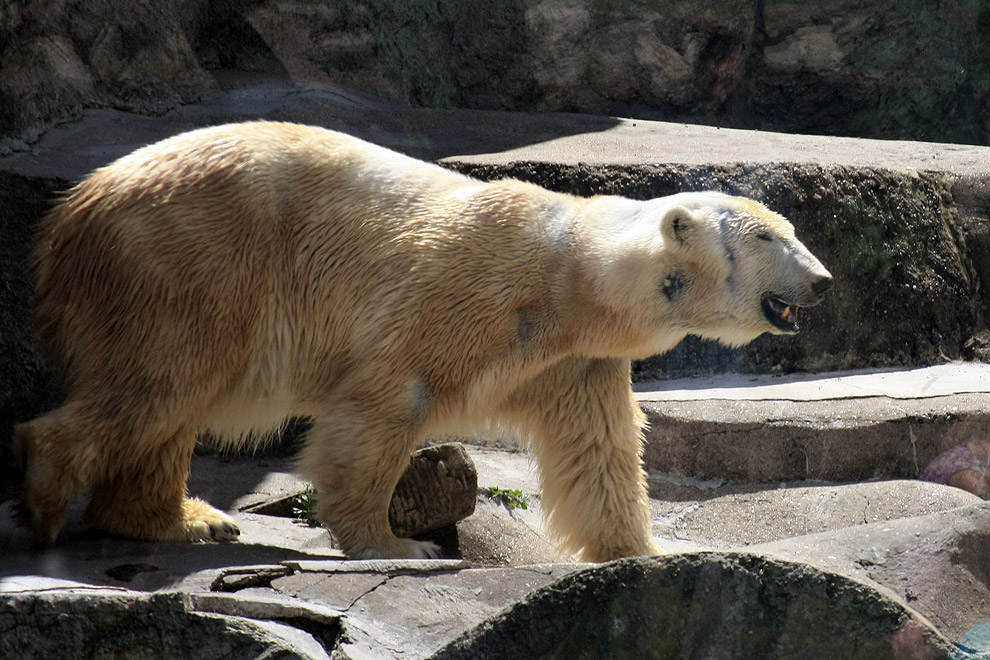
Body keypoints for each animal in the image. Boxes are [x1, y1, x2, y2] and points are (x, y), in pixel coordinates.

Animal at [17, 121, 836, 560]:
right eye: (768, 237)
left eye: (792, 230)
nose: (824, 281)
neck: (568, 280)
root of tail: (69, 211)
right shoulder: (461, 292)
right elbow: (383, 406)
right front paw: (394, 542)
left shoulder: (575, 359)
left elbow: (599, 452)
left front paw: (643, 551)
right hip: (188, 260)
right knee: (162, 380)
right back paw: (48, 503)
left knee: (164, 405)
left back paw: (184, 519)